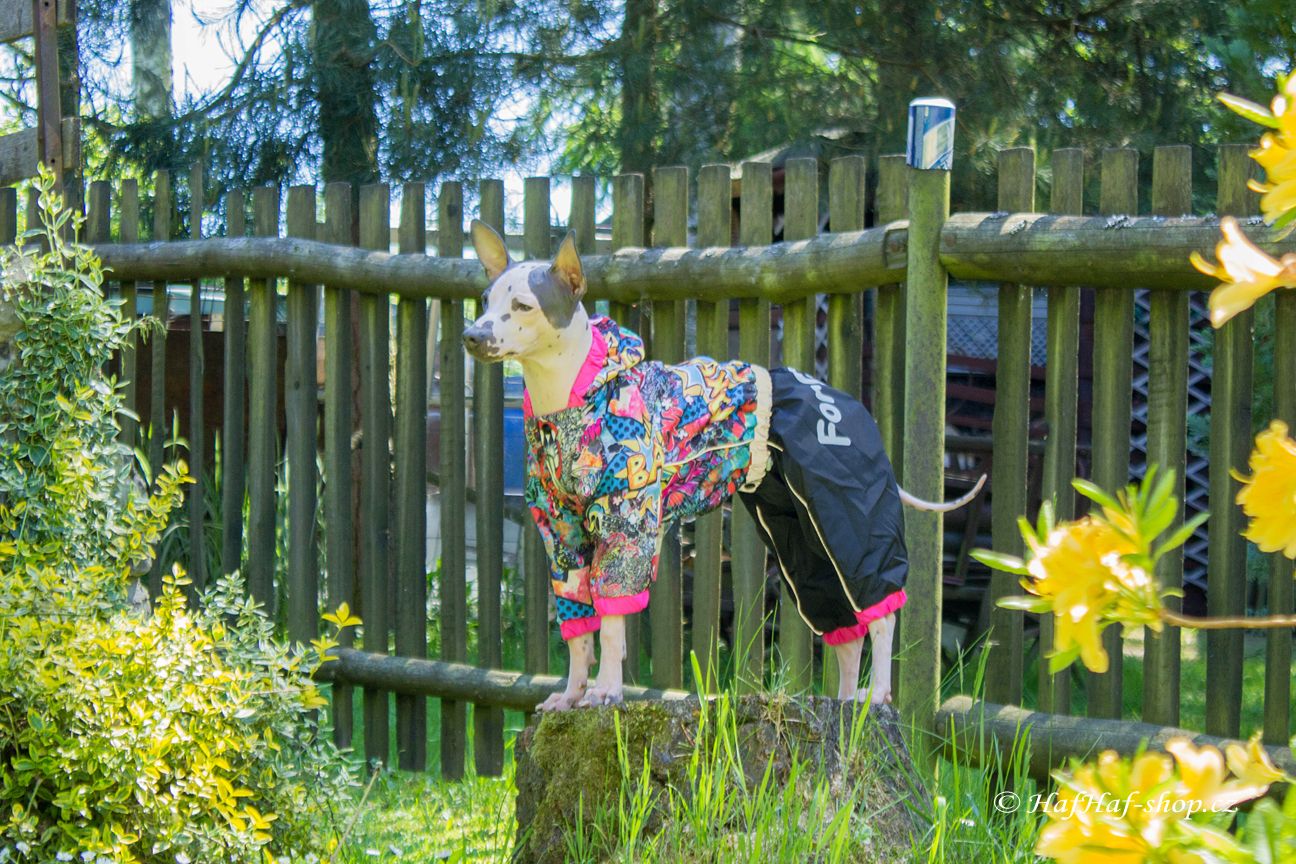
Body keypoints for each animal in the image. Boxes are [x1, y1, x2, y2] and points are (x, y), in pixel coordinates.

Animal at [466, 221, 979, 709]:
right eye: (487, 300)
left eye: (524, 306)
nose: (474, 335)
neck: (566, 401)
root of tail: (852, 405)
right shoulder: (561, 535)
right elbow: (579, 634)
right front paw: (571, 695)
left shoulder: (624, 524)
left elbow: (611, 627)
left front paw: (606, 692)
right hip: (800, 537)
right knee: (844, 628)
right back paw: (846, 701)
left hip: (852, 524)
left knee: (881, 614)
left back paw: (877, 695)